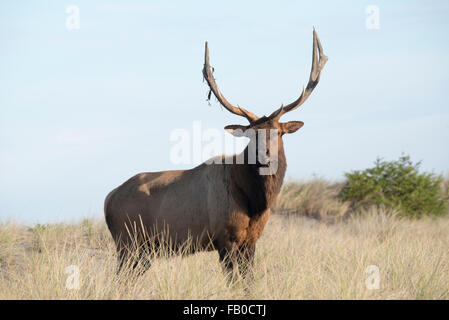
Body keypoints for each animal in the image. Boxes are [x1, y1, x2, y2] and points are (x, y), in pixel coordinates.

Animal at [107, 28, 328, 276]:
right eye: (251, 134)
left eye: (278, 133)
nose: (265, 156)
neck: (256, 204)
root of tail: (107, 200)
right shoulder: (225, 237)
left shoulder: (250, 241)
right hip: (128, 242)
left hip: (143, 251)